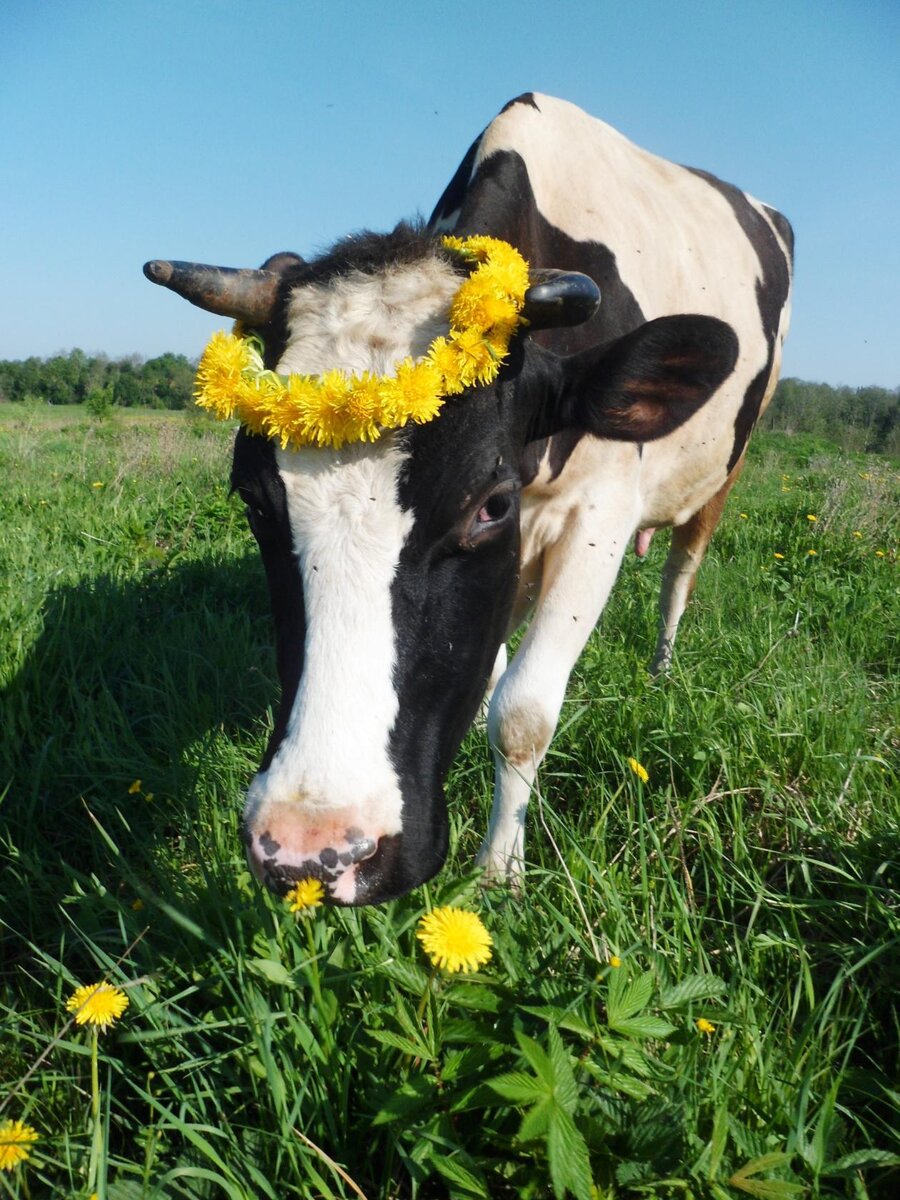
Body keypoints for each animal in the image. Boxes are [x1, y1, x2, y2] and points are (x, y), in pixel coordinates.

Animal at [144, 91, 792, 902]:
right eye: (256, 501)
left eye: (490, 503)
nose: (314, 850)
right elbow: (486, 676)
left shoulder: (599, 514)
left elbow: (522, 712)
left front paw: (500, 874)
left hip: (729, 464)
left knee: (681, 571)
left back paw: (662, 670)